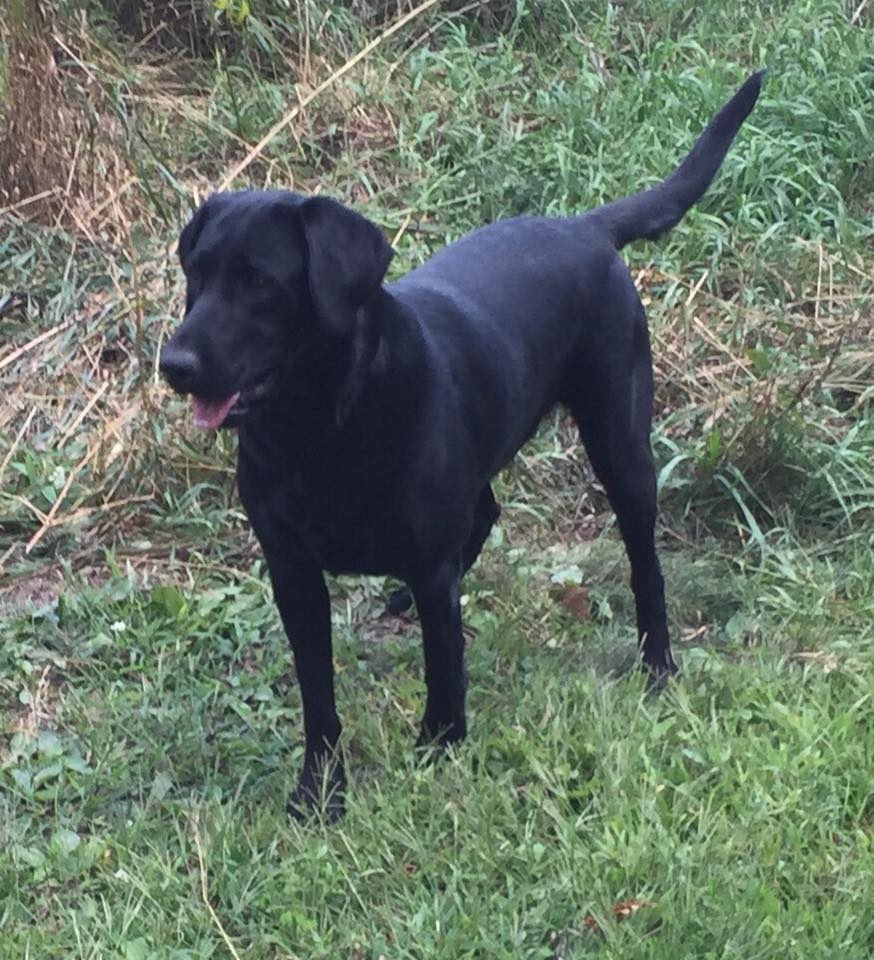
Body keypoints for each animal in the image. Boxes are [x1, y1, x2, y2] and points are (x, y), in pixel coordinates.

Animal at [160, 71, 760, 816]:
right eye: (196, 272)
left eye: (259, 282)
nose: (174, 364)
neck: (322, 427)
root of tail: (584, 226)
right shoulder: (292, 570)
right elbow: (318, 693)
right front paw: (319, 789)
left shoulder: (426, 562)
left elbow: (444, 669)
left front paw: (439, 747)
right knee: (486, 513)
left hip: (621, 445)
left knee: (644, 565)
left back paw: (658, 665)